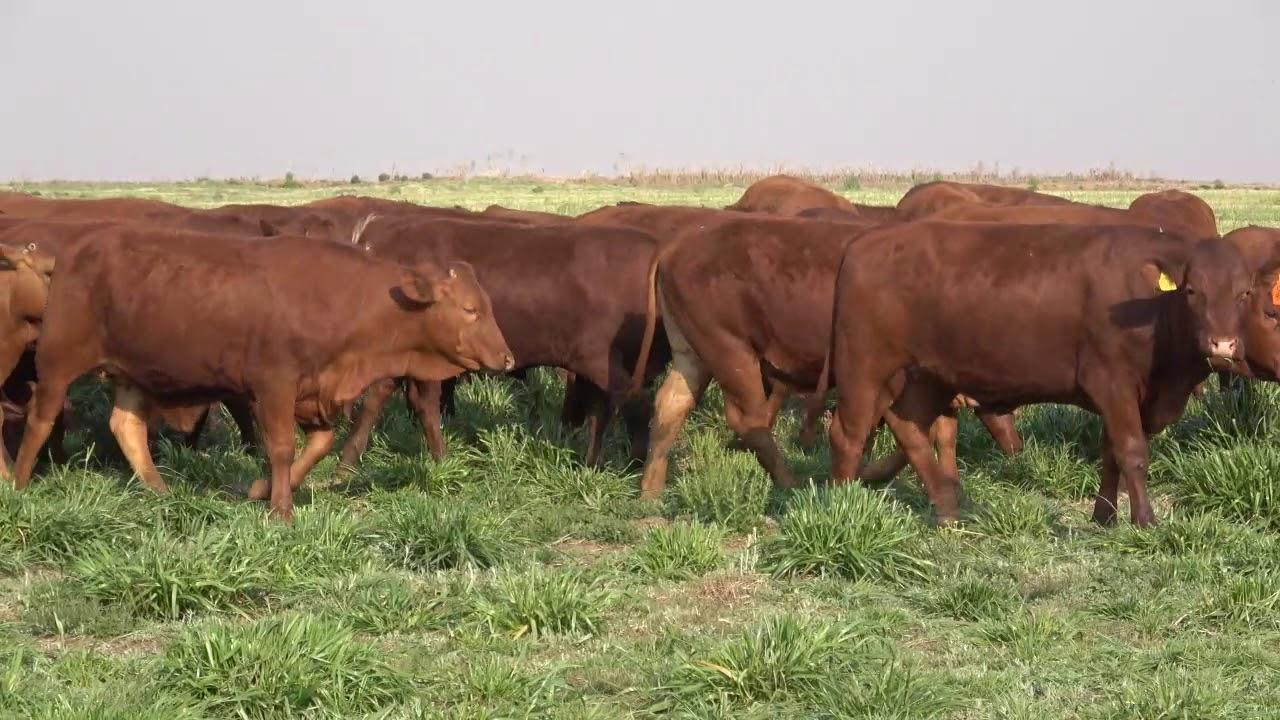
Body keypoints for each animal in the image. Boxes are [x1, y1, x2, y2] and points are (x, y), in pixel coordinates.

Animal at [6, 227, 513, 520]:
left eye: (485, 305)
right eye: (470, 309)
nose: (506, 358)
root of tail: (76, 250)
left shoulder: (312, 393)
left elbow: (320, 445)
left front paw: (260, 489)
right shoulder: (274, 386)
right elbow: (282, 448)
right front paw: (281, 509)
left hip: (133, 374)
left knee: (126, 427)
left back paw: (160, 490)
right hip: (58, 362)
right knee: (40, 420)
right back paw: (18, 485)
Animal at [341, 217, 668, 469]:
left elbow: (601, 413)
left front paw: (593, 464)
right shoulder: (600, 362)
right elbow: (634, 406)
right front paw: (636, 464)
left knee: (380, 398)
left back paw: (349, 461)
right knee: (418, 403)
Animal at [628, 215, 1021, 499]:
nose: (1018, 449)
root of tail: (679, 244)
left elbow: (942, 433)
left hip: (692, 353)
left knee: (670, 406)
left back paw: (651, 490)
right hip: (731, 351)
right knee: (749, 419)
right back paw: (790, 482)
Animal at [826, 221, 1257, 527]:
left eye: (1244, 293)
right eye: (1192, 291)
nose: (1222, 345)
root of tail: (864, 242)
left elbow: (1110, 452)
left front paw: (1104, 516)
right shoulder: (1112, 381)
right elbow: (1132, 451)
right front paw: (1145, 521)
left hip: (926, 376)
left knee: (910, 430)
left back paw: (948, 511)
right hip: (864, 368)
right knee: (848, 435)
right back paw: (842, 507)